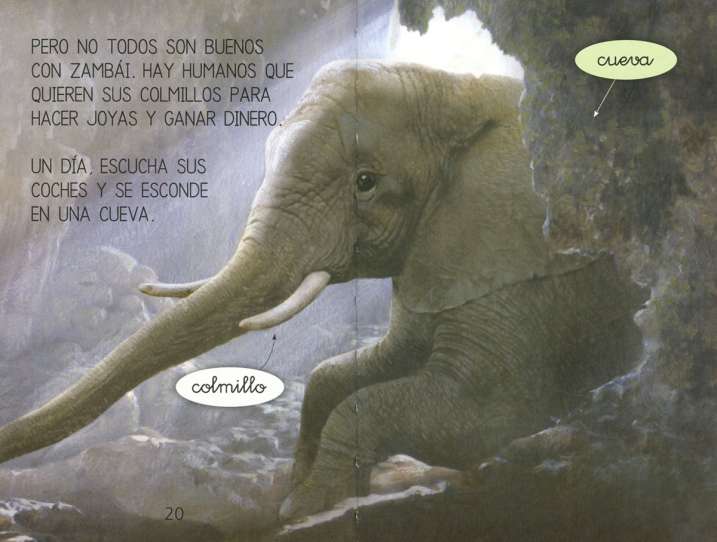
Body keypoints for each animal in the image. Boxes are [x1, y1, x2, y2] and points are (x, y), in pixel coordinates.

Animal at [0, 61, 646, 520]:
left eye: (366, 183)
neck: (459, 88)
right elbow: (346, 371)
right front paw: (297, 493)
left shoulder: (533, 271)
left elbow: (486, 414)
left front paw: (305, 507)